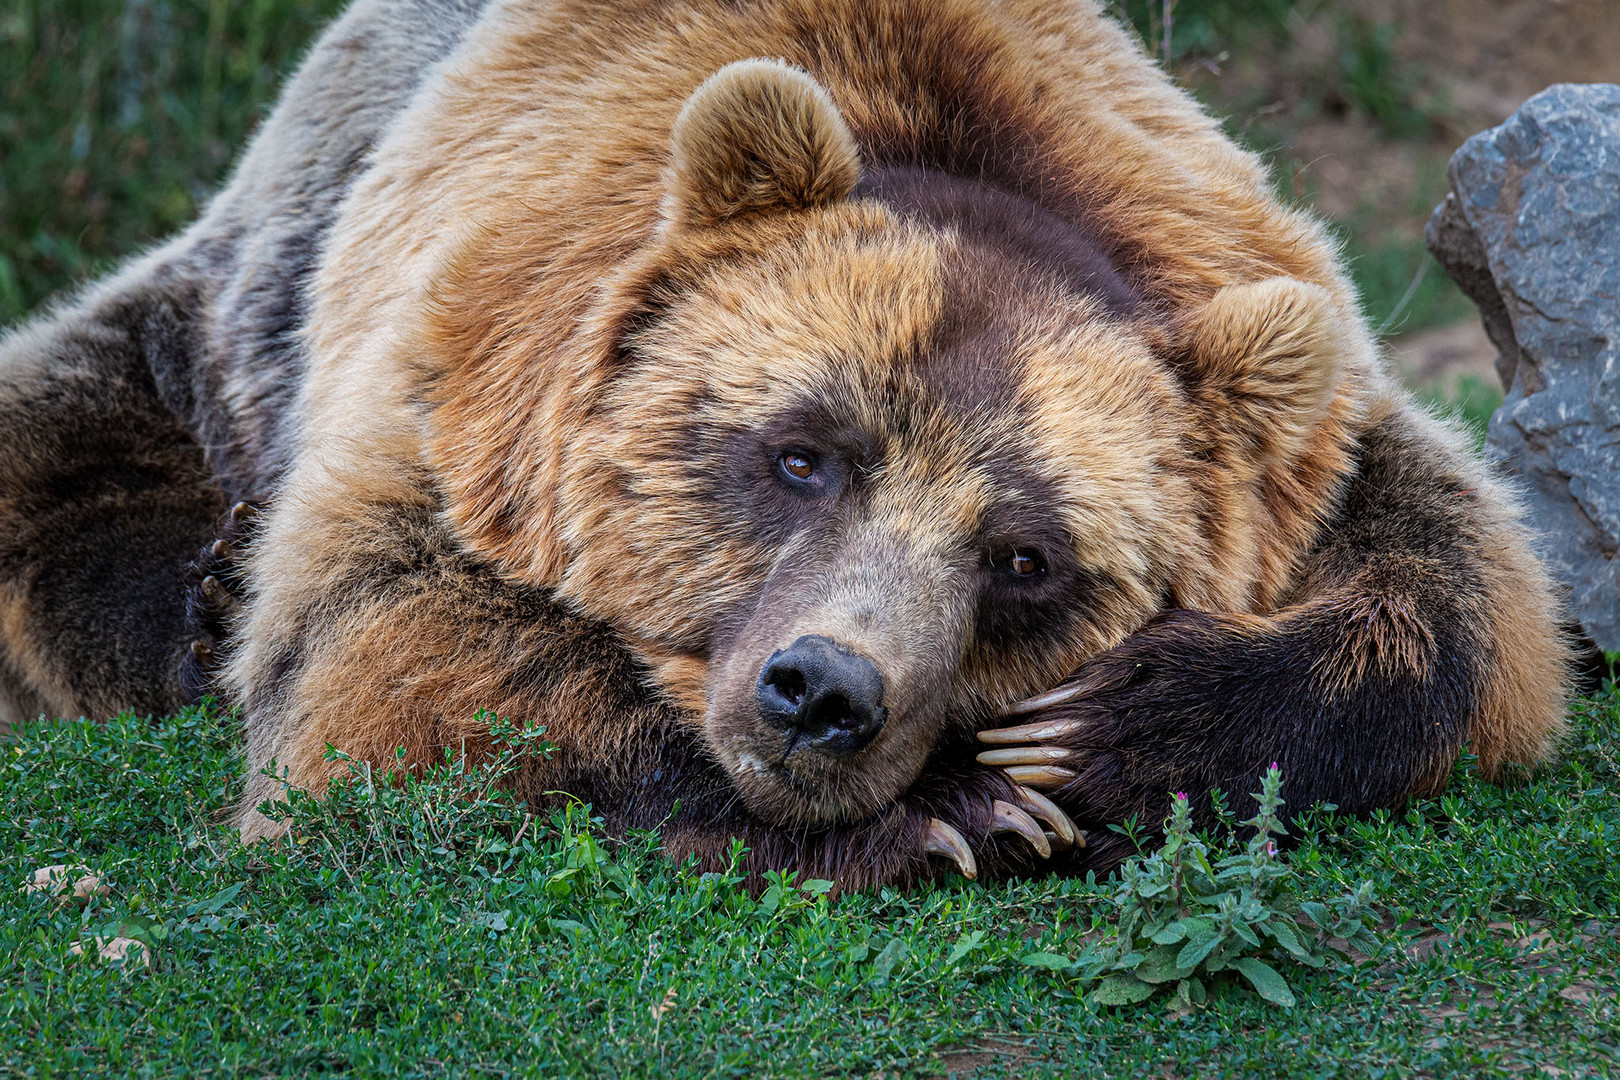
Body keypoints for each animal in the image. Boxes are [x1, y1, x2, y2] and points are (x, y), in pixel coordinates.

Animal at [0, 0, 1568, 887]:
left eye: (1025, 557)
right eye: (801, 453)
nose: (821, 693)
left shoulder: (1297, 396)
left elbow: (1465, 584)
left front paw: (1115, 726)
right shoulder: (464, 385)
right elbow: (389, 657)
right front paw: (954, 809)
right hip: (262, 280)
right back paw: (201, 594)